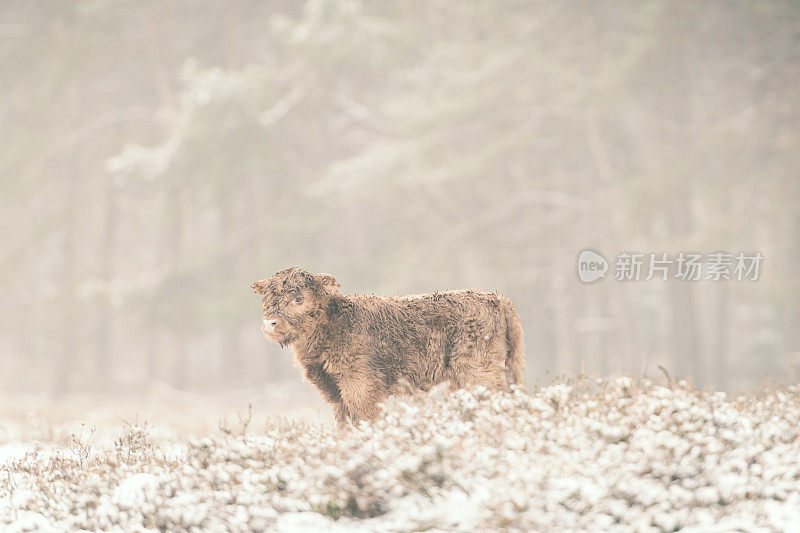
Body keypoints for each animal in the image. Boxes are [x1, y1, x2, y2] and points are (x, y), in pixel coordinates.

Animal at [252, 268, 524, 426]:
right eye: (266, 300)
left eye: (298, 298)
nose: (270, 323)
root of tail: (496, 300)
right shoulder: (336, 395)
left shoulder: (362, 388)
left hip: (479, 375)